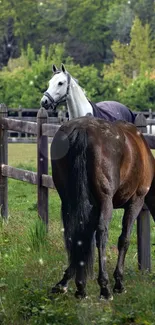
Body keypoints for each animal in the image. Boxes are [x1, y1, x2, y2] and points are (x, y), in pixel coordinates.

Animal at [50, 116, 154, 298]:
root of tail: (82, 129)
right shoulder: (136, 201)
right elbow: (124, 239)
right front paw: (119, 282)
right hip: (106, 201)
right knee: (101, 235)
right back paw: (104, 287)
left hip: (68, 199)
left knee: (73, 233)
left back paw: (75, 285)